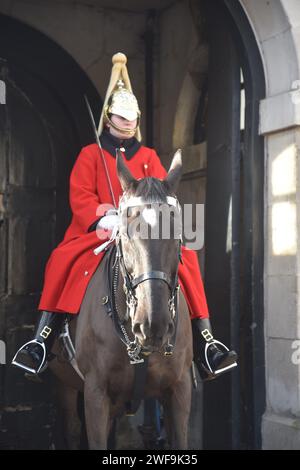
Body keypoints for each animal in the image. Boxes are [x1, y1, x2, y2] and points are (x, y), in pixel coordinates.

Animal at [49, 149, 192, 450]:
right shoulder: (95, 394)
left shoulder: (179, 390)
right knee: (71, 429)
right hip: (66, 386)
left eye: (177, 234)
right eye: (126, 233)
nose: (152, 325)